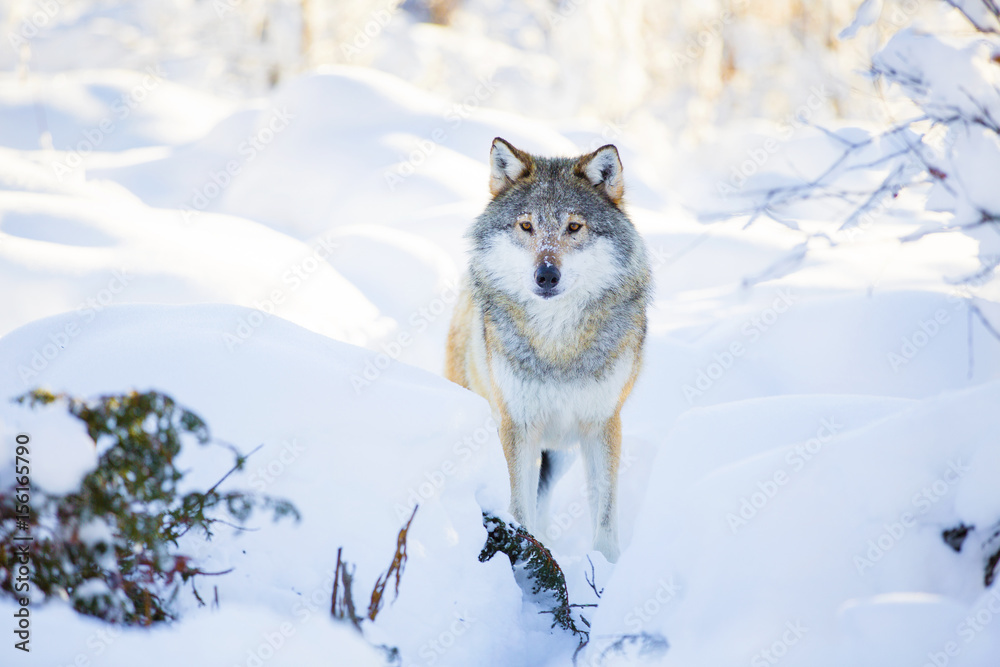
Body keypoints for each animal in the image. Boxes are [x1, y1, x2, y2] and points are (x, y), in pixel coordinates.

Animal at [444, 137, 651, 562]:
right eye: (527, 226)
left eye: (573, 227)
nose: (546, 275)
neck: (558, 345)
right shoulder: (518, 425)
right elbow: (519, 507)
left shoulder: (602, 423)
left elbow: (605, 513)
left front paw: (607, 567)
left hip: (563, 449)